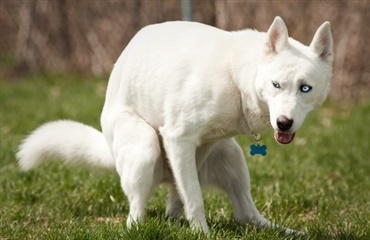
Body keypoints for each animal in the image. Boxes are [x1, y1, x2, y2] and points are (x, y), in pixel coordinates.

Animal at [17, 17, 334, 234]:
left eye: (305, 88)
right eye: (276, 84)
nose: (284, 123)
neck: (236, 77)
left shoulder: (201, 145)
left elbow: (184, 192)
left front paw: (186, 222)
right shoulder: (177, 138)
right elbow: (194, 197)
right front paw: (201, 233)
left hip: (231, 156)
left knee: (246, 215)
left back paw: (286, 232)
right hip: (145, 147)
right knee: (135, 210)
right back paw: (138, 227)